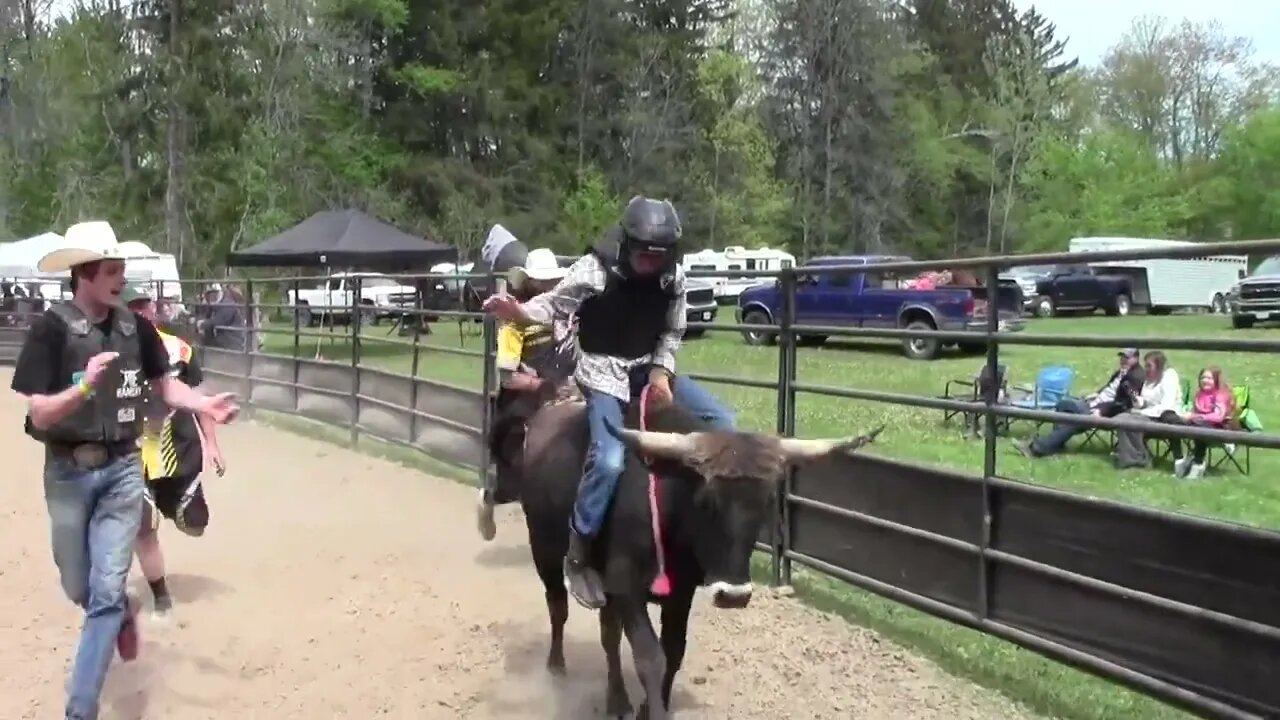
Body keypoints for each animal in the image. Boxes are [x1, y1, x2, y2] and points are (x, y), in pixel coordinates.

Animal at [494, 394, 885, 712]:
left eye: (767, 503)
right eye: (707, 501)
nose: (733, 595)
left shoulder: (679, 593)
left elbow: (673, 652)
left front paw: (648, 706)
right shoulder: (626, 585)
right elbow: (649, 657)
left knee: (608, 635)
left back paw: (616, 699)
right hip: (544, 549)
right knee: (557, 605)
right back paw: (557, 665)